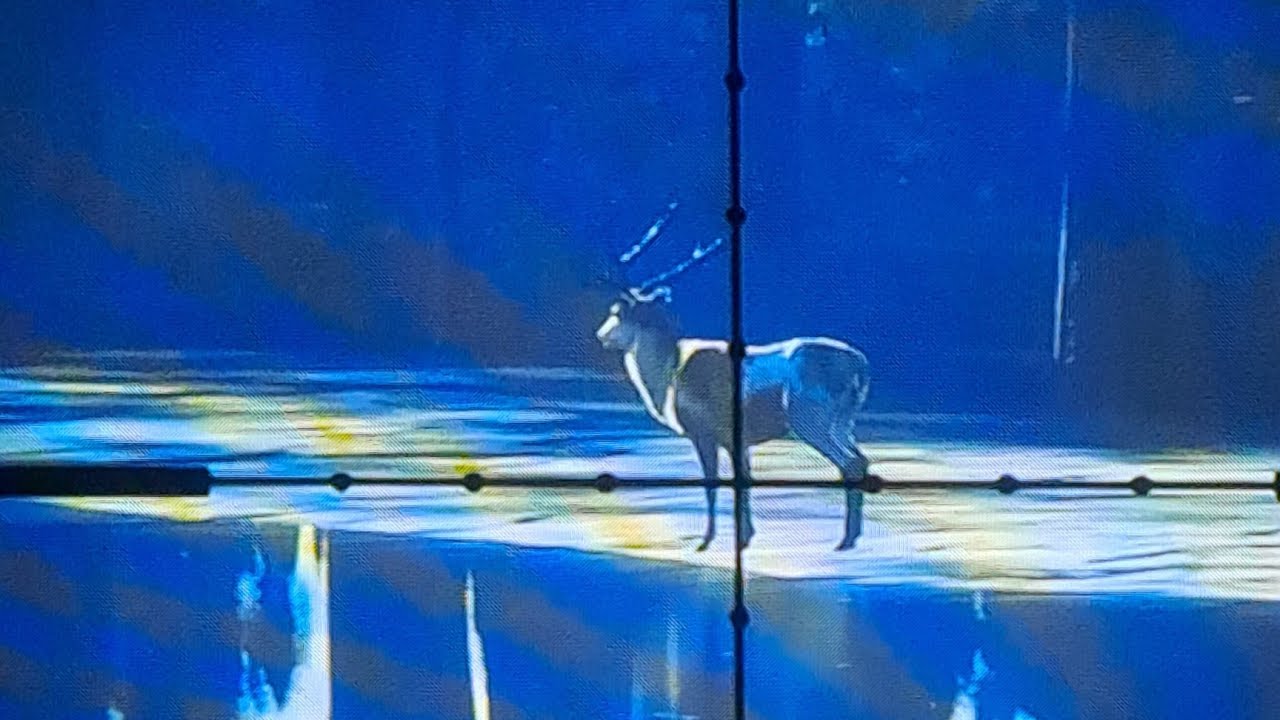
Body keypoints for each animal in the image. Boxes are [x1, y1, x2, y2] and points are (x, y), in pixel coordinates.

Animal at [594, 201, 872, 552]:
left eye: (619, 313)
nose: (601, 335)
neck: (669, 378)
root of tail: (861, 367)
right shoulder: (735, 438)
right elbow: (745, 479)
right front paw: (745, 537)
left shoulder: (705, 430)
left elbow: (713, 484)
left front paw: (706, 542)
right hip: (842, 420)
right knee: (861, 460)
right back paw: (852, 538)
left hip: (811, 416)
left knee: (850, 463)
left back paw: (846, 542)